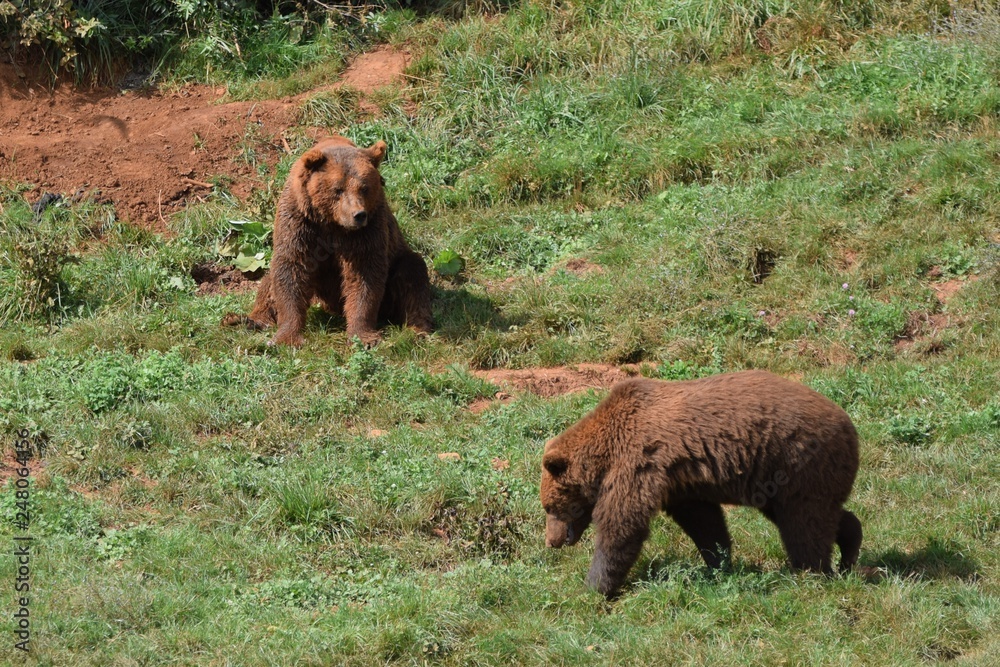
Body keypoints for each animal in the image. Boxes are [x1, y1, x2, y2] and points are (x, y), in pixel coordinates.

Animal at [223, 136, 432, 347]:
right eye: (337, 189)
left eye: (364, 188)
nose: (358, 215)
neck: (331, 222)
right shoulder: (300, 221)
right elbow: (290, 269)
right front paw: (288, 336)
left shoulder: (368, 228)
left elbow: (364, 274)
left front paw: (363, 336)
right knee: (269, 281)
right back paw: (243, 319)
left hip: (397, 261)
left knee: (412, 274)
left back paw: (418, 329)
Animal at [540, 370, 862, 598]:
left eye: (549, 507)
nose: (551, 541)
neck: (605, 453)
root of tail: (851, 427)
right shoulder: (680, 485)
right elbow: (704, 522)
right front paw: (719, 563)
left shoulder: (638, 464)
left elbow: (622, 525)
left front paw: (594, 587)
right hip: (779, 480)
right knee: (817, 515)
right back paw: (849, 551)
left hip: (797, 460)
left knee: (805, 524)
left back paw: (810, 573)